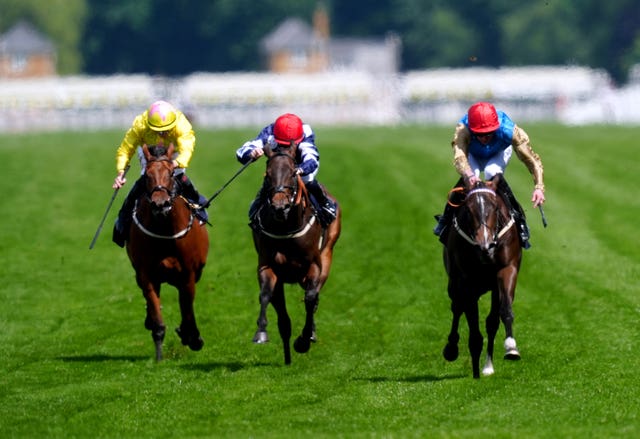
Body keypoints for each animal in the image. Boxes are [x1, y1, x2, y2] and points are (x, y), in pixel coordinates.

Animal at [123, 144, 208, 360]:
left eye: (171, 173)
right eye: (147, 176)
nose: (160, 204)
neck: (165, 231)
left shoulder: (188, 274)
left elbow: (187, 307)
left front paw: (192, 336)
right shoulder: (146, 274)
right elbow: (157, 316)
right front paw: (159, 352)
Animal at [250, 144, 342, 364]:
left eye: (293, 173)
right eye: (267, 175)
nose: (280, 206)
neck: (285, 226)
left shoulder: (314, 265)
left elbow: (310, 298)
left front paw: (304, 340)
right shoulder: (267, 265)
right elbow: (265, 294)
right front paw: (261, 332)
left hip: (327, 254)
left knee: (314, 298)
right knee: (282, 313)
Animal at [442, 177, 524, 380]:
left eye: (494, 208)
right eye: (468, 209)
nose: (485, 245)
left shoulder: (507, 269)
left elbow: (503, 312)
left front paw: (511, 348)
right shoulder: (466, 281)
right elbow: (473, 330)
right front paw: (475, 372)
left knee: (490, 321)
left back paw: (487, 365)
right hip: (454, 284)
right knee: (457, 308)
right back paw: (451, 348)